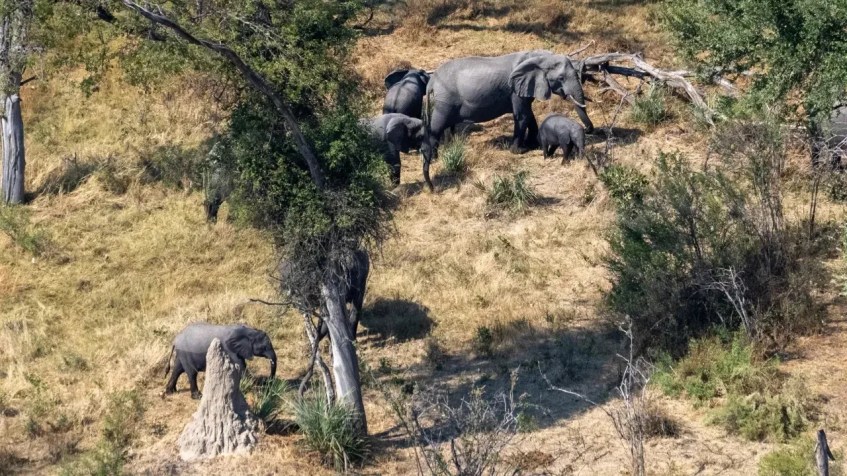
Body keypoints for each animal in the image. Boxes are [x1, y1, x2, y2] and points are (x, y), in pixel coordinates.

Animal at [422, 50, 594, 191]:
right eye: (561, 78)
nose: (588, 130)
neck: (541, 56)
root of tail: (431, 81)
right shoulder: (515, 89)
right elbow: (522, 115)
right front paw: (519, 151)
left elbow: (528, 114)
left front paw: (533, 145)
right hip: (445, 101)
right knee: (437, 126)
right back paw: (435, 157)